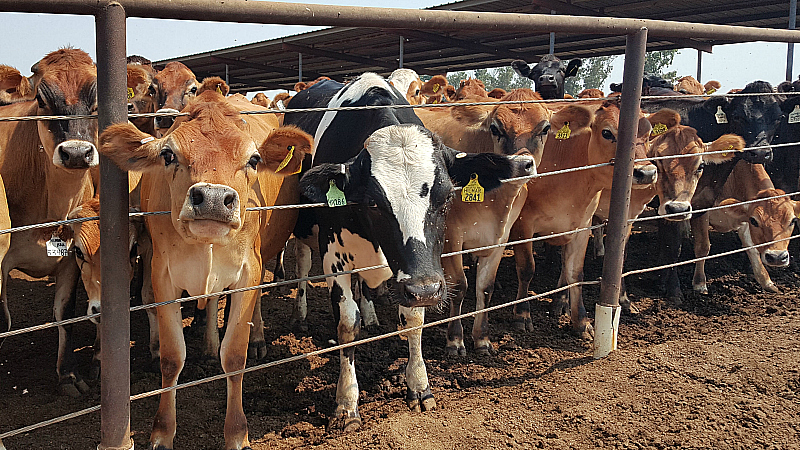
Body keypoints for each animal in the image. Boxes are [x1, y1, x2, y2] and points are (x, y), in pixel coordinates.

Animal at [0, 47, 98, 396]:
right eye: (42, 100)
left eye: (97, 100)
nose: (76, 153)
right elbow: (2, 321)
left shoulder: (71, 258)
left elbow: (65, 313)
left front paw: (68, 375)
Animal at [100, 89, 312, 450]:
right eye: (168, 154)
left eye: (253, 159)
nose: (212, 198)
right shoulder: (162, 275)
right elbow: (171, 358)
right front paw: (162, 433)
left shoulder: (249, 272)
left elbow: (236, 357)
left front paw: (237, 434)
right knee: (212, 300)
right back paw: (211, 345)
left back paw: (256, 338)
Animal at [284, 74, 536, 432]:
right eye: (373, 202)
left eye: (447, 196)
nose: (425, 290)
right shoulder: (335, 259)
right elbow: (347, 325)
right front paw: (346, 403)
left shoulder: (416, 274)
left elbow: (414, 321)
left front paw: (419, 386)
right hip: (305, 235)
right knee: (304, 267)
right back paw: (301, 313)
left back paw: (372, 315)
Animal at [692, 163, 796, 294]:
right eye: (754, 221)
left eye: (793, 220)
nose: (777, 257)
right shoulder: (700, 210)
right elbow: (703, 247)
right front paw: (699, 283)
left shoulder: (744, 220)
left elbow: (751, 247)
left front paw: (766, 281)